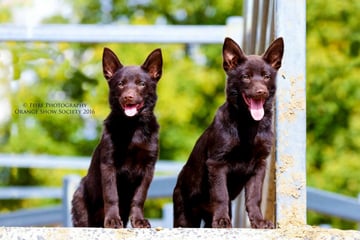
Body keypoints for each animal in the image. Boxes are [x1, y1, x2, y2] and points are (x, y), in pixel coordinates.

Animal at [71, 46, 162, 228]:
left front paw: (139, 220)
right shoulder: (108, 165)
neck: (132, 127)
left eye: (141, 84)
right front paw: (112, 220)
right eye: (120, 84)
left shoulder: (148, 168)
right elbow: (111, 195)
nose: (128, 97)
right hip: (80, 200)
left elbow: (139, 198)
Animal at [172, 36, 284, 228]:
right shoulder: (217, 163)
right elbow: (220, 195)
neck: (247, 125)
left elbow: (254, 197)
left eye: (266, 76)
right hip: (185, 215)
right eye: (245, 76)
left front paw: (259, 221)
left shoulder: (259, 165)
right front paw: (223, 221)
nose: (261, 92)